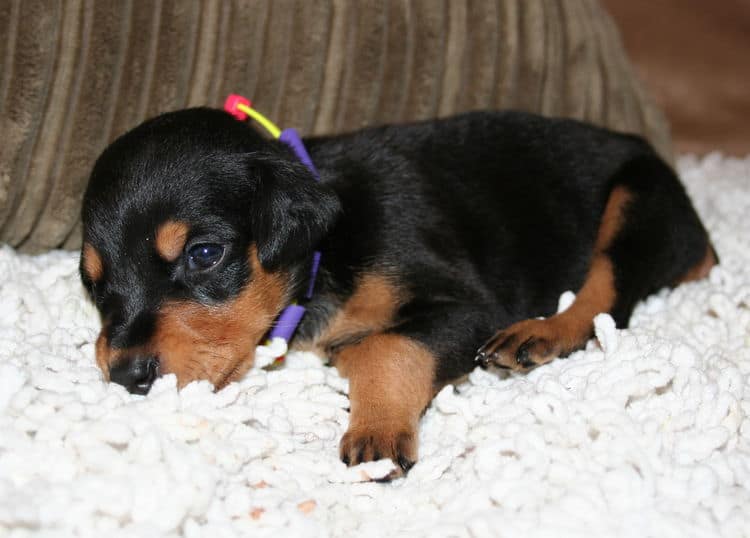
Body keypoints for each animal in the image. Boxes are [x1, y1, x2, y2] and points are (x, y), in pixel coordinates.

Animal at [79, 107, 720, 476]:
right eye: (93, 282)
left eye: (204, 254)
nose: (127, 374)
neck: (328, 249)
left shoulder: (467, 307)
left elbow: (385, 346)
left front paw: (376, 432)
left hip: (638, 200)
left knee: (606, 297)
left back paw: (540, 334)